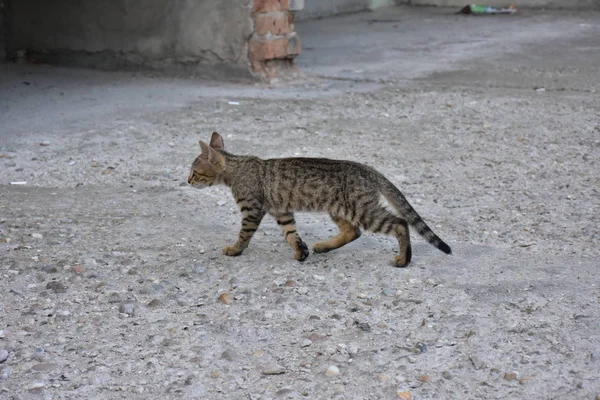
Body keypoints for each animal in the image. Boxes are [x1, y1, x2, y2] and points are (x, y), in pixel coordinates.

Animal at [188, 133, 450, 268]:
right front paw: (301, 252)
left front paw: (234, 249)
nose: (187, 180)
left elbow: (244, 235)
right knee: (353, 231)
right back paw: (323, 246)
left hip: (362, 210)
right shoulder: (282, 212)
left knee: (399, 223)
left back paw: (404, 259)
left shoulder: (252, 210)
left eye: (195, 172)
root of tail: (369, 169)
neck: (237, 168)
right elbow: (292, 235)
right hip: (340, 210)